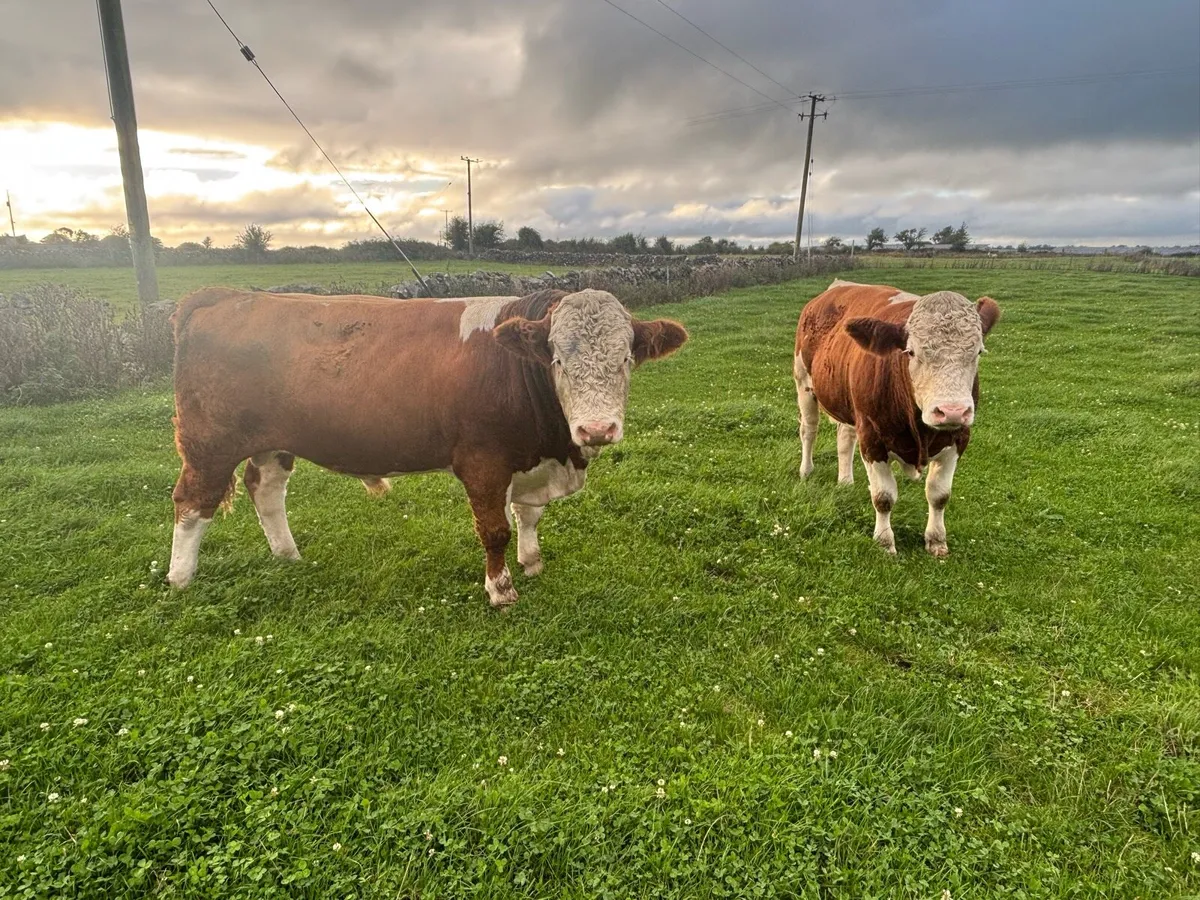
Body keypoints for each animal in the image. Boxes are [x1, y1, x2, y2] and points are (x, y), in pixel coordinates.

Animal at [166, 287, 688, 606]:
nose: (597, 429)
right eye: (557, 359)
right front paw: (500, 590)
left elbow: (528, 516)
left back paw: (288, 555)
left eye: (626, 359)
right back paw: (180, 578)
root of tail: (228, 295)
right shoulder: (482, 460)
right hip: (209, 444)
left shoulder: (529, 459)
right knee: (192, 502)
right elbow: (495, 529)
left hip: (273, 443)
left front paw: (532, 562)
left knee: (266, 489)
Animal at [794, 279, 1000, 556]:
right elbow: (883, 497)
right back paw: (806, 471)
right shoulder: (872, 439)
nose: (952, 411)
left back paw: (845, 481)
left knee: (845, 438)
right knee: (809, 430)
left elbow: (939, 495)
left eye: (978, 352)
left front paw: (936, 540)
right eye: (910, 352)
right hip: (804, 383)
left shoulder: (958, 439)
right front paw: (884, 542)